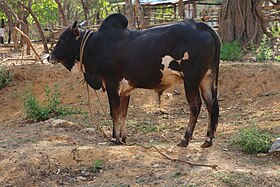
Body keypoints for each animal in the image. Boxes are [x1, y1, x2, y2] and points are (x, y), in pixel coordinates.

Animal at [48, 13, 221, 148]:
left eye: (62, 38)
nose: (49, 57)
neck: (96, 45)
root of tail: (202, 26)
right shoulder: (125, 90)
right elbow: (123, 113)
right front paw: (123, 138)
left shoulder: (112, 84)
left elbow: (114, 112)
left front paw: (115, 138)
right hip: (206, 79)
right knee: (211, 105)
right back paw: (208, 140)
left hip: (191, 80)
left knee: (196, 106)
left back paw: (185, 139)